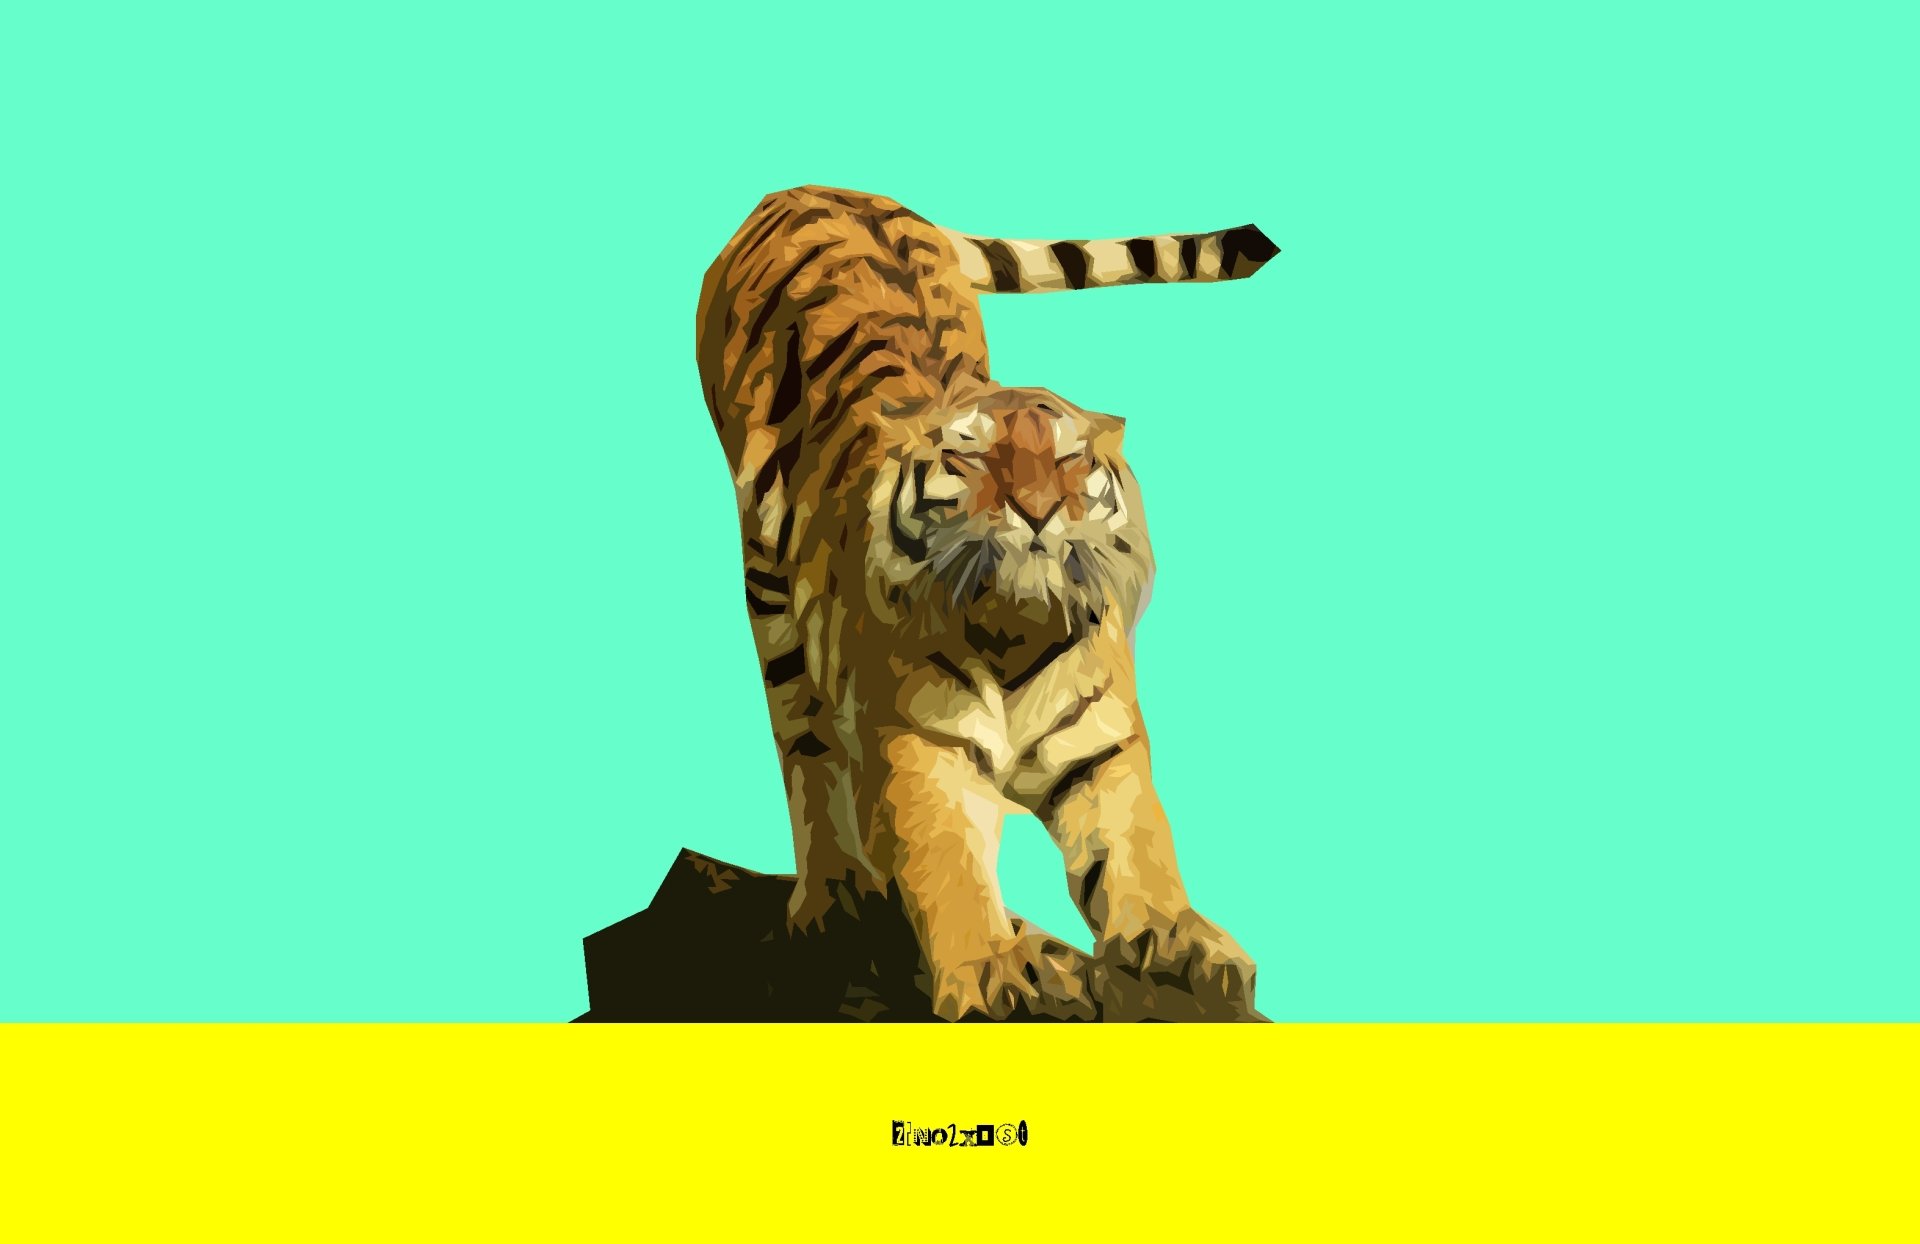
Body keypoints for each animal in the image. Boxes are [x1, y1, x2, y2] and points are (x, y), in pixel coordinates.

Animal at [695, 185, 1278, 1021]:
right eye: (973, 458)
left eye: (1068, 459)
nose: (1037, 509)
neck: (1015, 630)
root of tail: (812, 188)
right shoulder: (919, 743)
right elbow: (949, 863)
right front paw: (991, 968)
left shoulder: (1101, 745)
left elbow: (1138, 846)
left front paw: (1180, 940)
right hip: (767, 588)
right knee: (803, 744)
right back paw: (832, 897)